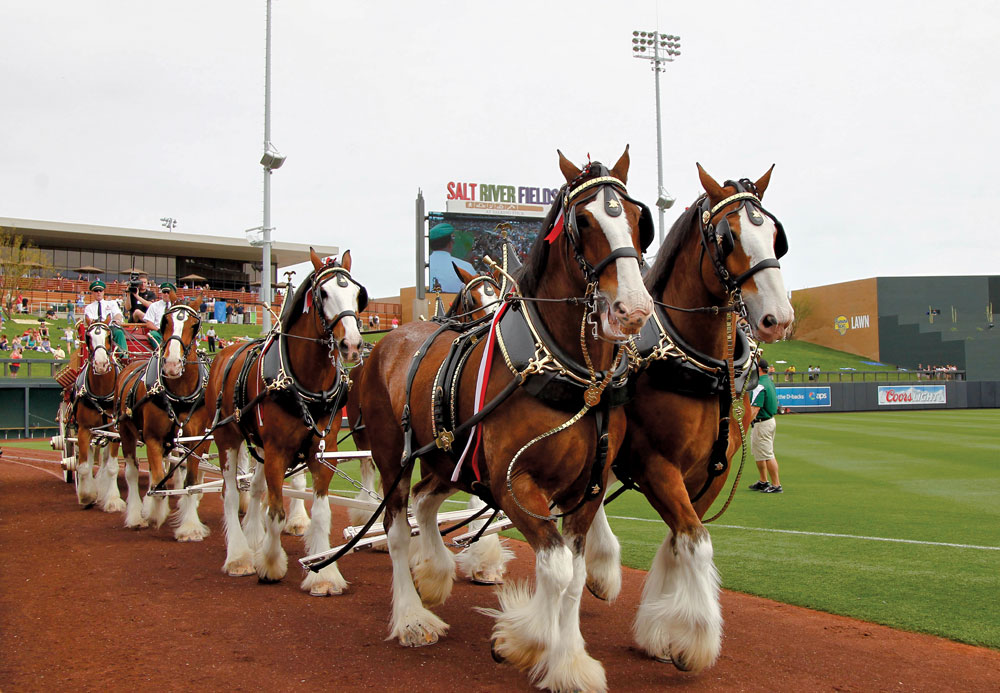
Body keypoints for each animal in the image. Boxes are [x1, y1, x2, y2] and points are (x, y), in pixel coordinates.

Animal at [356, 149, 652, 688]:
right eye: (583, 221)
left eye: (641, 221)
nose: (633, 309)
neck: (575, 375)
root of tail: (387, 340)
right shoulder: (513, 484)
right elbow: (556, 569)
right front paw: (525, 640)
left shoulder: (587, 489)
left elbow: (575, 575)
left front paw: (568, 662)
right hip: (393, 456)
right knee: (395, 528)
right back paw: (411, 617)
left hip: (449, 457)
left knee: (425, 503)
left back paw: (434, 573)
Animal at [584, 162, 792, 672]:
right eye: (728, 237)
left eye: (775, 235)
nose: (777, 318)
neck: (701, 365)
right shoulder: (656, 465)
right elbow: (696, 540)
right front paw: (694, 639)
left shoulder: (709, 471)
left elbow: (682, 537)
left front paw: (662, 631)